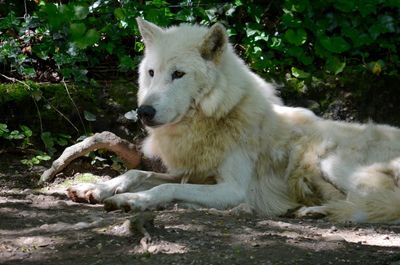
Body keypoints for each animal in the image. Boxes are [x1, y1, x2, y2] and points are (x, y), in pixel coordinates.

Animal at [67, 17, 400, 222]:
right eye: (151, 73)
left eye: (178, 74)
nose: (144, 112)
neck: (214, 119)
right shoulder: (194, 173)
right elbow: (137, 173)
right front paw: (95, 189)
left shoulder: (232, 188)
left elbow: (163, 189)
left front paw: (134, 200)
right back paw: (312, 211)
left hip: (329, 161)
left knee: (372, 206)